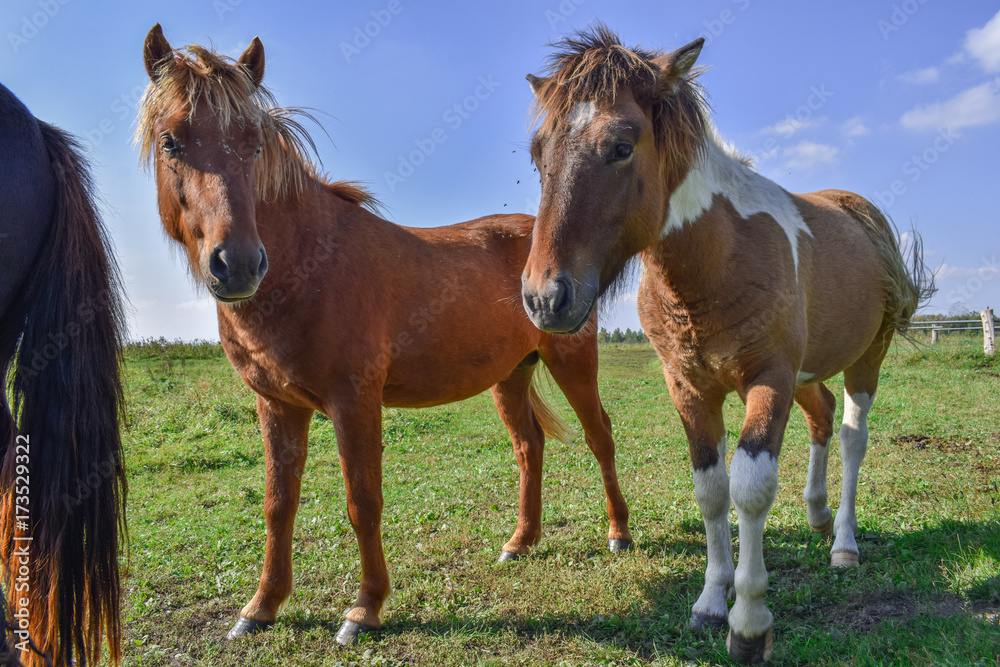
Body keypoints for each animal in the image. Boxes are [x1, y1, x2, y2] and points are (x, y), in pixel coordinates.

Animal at [137, 24, 632, 644]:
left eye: (253, 145)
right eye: (171, 141)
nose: (240, 264)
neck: (310, 265)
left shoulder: (354, 401)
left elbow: (363, 501)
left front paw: (365, 608)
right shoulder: (276, 405)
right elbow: (278, 504)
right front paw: (261, 606)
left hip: (572, 361)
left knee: (600, 436)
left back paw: (619, 534)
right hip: (509, 377)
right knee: (529, 446)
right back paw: (520, 542)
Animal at [519, 26, 933, 664]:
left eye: (621, 146)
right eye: (538, 154)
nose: (544, 299)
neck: (720, 257)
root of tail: (861, 212)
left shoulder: (770, 378)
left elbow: (751, 489)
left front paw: (750, 622)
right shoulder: (691, 387)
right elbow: (712, 489)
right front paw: (712, 602)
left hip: (865, 358)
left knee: (851, 436)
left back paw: (843, 542)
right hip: (807, 375)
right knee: (822, 418)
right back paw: (816, 515)